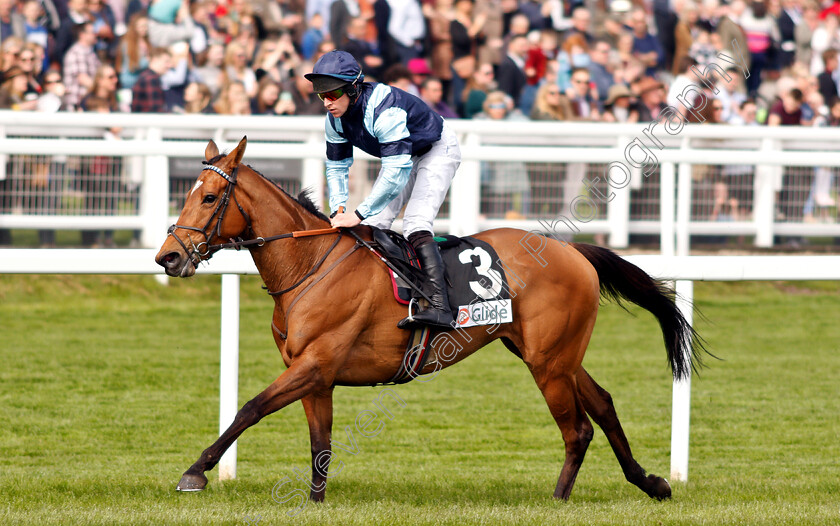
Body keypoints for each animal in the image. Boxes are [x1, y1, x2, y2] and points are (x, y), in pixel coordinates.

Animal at [153, 138, 704, 506]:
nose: (168, 258)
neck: (310, 264)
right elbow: (319, 443)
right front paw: (314, 500)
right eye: (186, 193)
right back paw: (651, 482)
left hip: (549, 361)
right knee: (603, 407)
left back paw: (560, 499)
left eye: (208, 198)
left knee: (577, 428)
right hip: (553, 355)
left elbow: (249, 408)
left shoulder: (315, 363)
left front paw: (195, 472)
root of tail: (573, 250)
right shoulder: (313, 372)